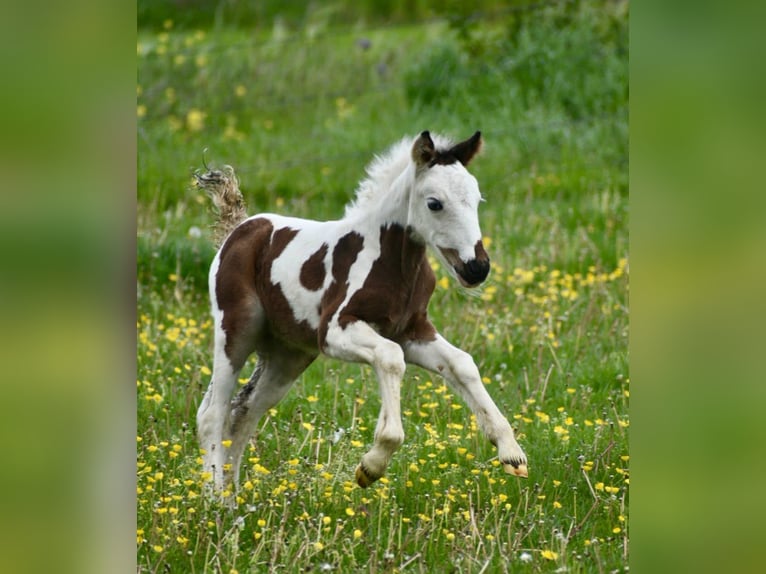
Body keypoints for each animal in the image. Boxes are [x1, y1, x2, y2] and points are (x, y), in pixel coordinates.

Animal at [194, 130, 528, 492]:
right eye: (435, 203)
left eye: (477, 199)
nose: (477, 268)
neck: (393, 263)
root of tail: (239, 229)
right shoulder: (335, 330)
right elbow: (391, 357)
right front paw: (372, 463)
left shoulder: (414, 332)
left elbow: (462, 364)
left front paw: (511, 451)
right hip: (236, 330)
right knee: (213, 414)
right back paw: (214, 498)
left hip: (288, 354)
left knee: (244, 412)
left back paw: (234, 498)